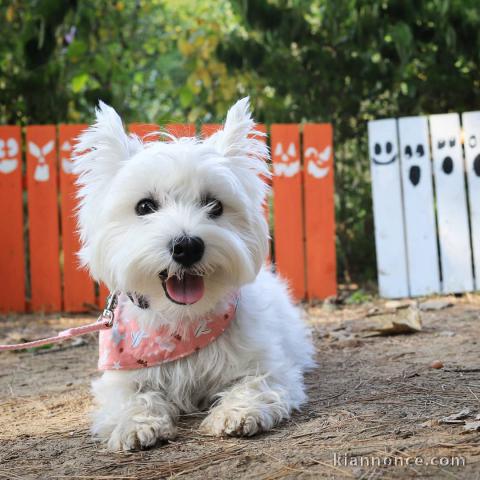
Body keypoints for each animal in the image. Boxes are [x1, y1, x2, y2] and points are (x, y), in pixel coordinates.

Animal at [73, 96, 316, 450]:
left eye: (214, 205)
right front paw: (137, 426)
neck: (182, 324)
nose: (186, 247)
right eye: (144, 206)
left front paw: (236, 414)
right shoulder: (121, 375)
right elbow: (132, 398)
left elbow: (255, 383)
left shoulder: (269, 365)